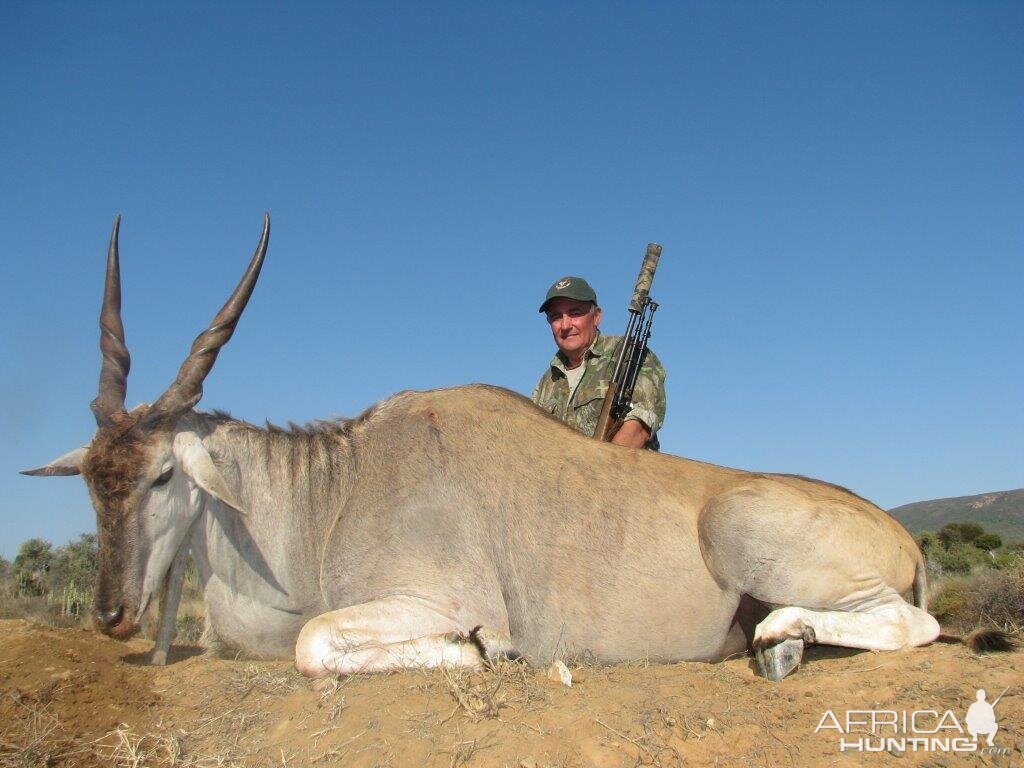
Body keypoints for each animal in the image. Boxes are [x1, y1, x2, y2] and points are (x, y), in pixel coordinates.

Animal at [22, 215, 999, 679]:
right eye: (94, 484)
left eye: (160, 477)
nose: (112, 615)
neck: (333, 486)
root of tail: (902, 536)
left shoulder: (429, 600)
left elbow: (314, 643)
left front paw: (486, 653)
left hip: (748, 532)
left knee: (912, 624)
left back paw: (781, 637)